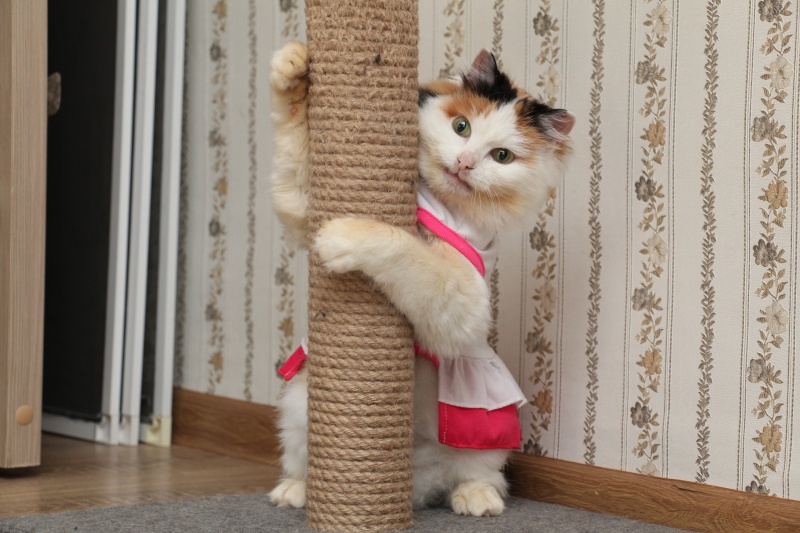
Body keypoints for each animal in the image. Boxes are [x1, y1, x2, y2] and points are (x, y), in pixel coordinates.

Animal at [268, 41, 573, 517]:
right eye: (461, 127)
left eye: (501, 156)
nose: (464, 163)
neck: (437, 205)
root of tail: (412, 481)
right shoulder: (303, 208)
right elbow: (296, 137)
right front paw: (294, 65)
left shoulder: (462, 299)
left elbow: (402, 249)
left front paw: (344, 236)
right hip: (299, 406)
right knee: (300, 461)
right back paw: (294, 492)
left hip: (489, 432)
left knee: (482, 475)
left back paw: (476, 500)